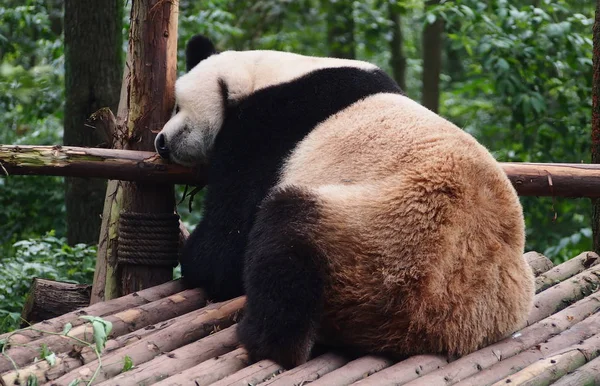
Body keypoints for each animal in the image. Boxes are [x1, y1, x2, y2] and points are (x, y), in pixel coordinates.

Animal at [155, 35, 536, 368]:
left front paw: (193, 256)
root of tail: (444, 325)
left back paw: (261, 341)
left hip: (380, 238)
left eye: (177, 107)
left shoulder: (268, 130)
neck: (264, 73)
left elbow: (228, 241)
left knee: (286, 236)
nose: (161, 142)